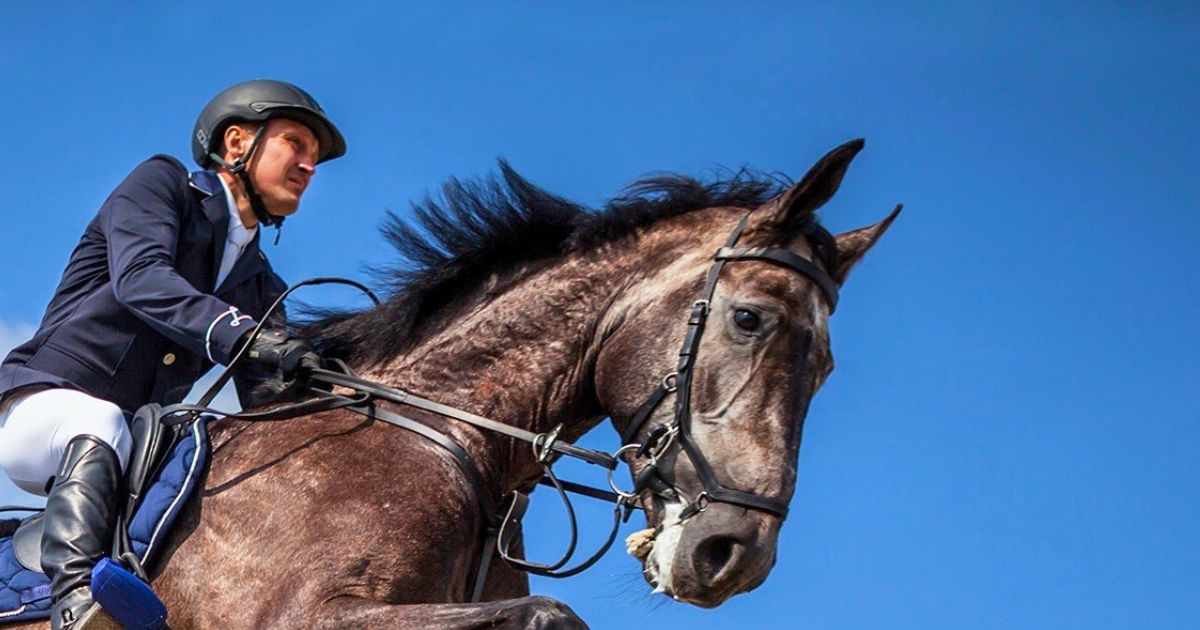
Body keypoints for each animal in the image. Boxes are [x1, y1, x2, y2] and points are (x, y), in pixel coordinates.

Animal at [10, 139, 898, 629]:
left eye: (826, 369)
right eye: (749, 319)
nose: (733, 555)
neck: (445, 439)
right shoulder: (294, 614)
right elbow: (550, 614)